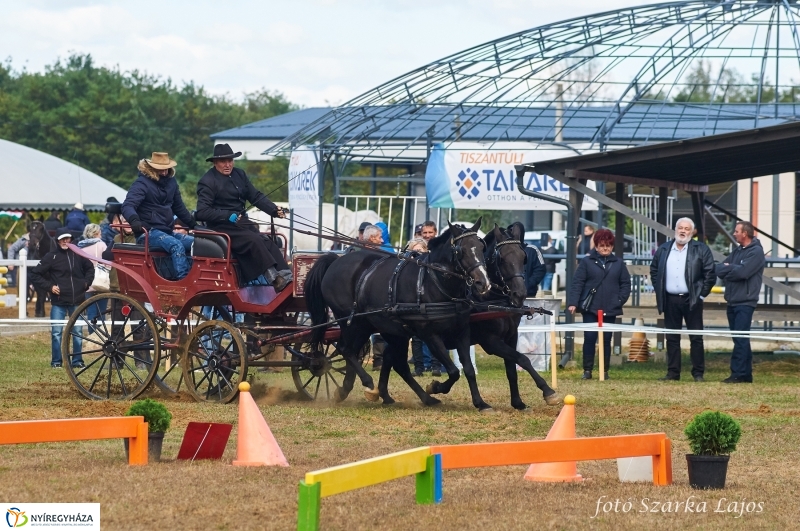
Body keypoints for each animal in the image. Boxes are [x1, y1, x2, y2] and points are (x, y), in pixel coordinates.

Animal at [306, 220, 494, 412]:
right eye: (460, 250)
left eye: (481, 247)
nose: (483, 283)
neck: (434, 282)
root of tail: (336, 260)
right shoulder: (430, 335)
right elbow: (454, 372)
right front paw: (435, 387)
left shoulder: (461, 332)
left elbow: (468, 369)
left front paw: (480, 403)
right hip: (354, 323)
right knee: (347, 350)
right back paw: (368, 384)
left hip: (388, 329)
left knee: (392, 362)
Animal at [382, 224, 564, 412]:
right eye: (501, 258)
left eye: (523, 257)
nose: (519, 294)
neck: (489, 299)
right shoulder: (490, 341)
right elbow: (523, 359)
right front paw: (548, 391)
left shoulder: (511, 336)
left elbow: (512, 369)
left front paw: (518, 402)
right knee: (396, 362)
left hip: (398, 336)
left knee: (390, 359)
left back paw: (384, 394)